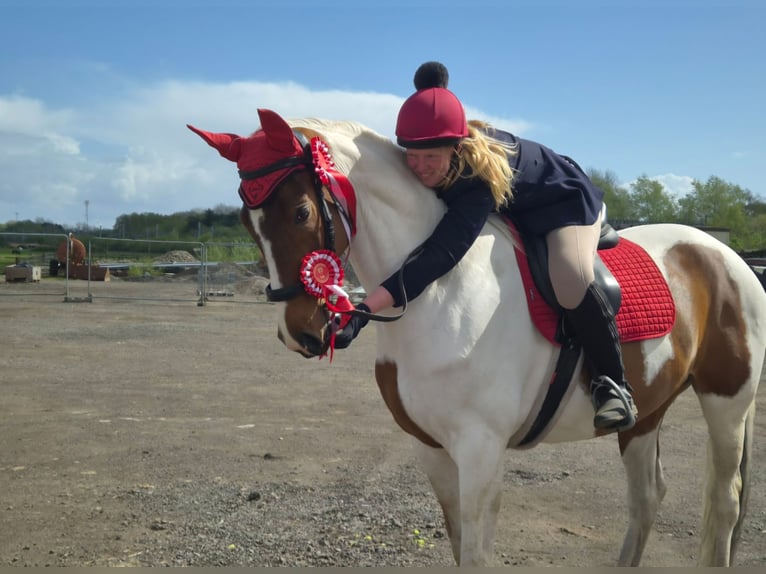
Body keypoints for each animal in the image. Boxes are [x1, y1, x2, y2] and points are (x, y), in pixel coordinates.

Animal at [188, 109, 766, 567]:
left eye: (302, 211)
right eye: (247, 221)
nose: (301, 333)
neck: (441, 293)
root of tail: (724, 254)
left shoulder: (481, 453)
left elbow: (477, 555)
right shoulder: (432, 450)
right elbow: (458, 545)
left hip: (726, 404)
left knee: (724, 503)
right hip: (647, 412)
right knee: (647, 498)